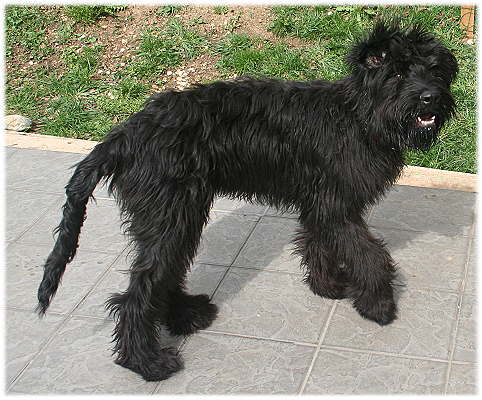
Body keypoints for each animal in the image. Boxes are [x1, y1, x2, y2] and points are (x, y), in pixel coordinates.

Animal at [36, 21, 457, 381]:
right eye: (398, 73)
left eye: (435, 70)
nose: (431, 97)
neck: (357, 116)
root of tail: (123, 135)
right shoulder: (337, 206)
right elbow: (369, 255)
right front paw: (377, 304)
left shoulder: (320, 202)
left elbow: (317, 242)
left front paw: (328, 286)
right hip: (171, 215)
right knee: (138, 291)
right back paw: (148, 362)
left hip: (179, 216)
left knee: (163, 274)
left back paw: (185, 316)